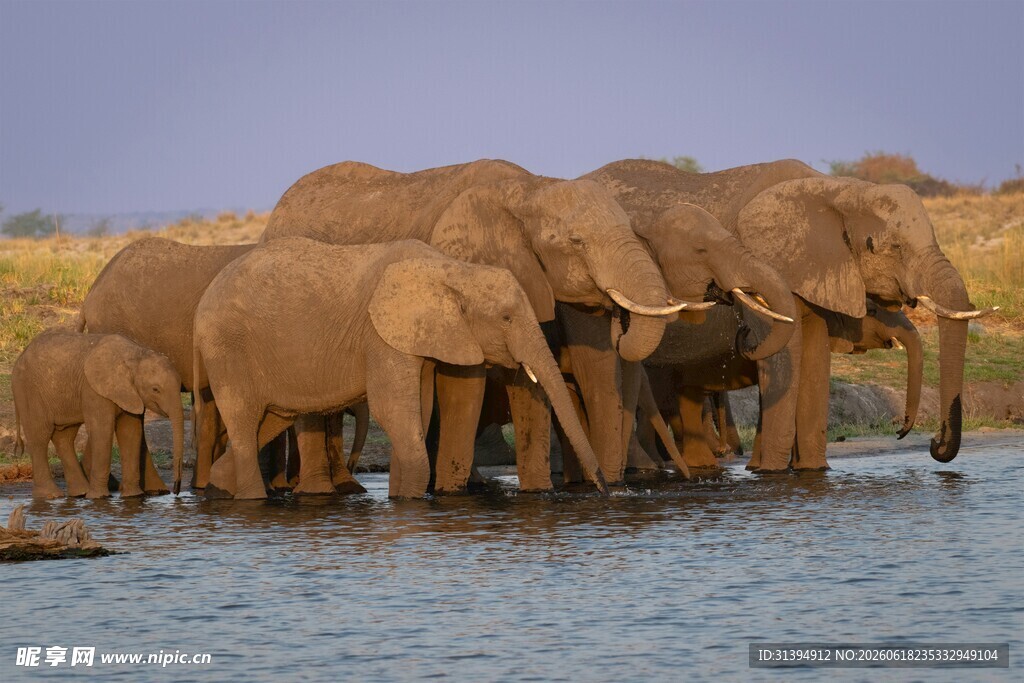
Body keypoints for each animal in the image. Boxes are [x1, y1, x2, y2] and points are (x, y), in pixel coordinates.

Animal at [12, 330, 185, 499]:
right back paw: (51, 495)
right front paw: (98, 497)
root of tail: (20, 357)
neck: (135, 355)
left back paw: (80, 493)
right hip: (28, 391)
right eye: (156, 389)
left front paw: (132, 496)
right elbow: (102, 431)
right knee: (39, 436)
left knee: (64, 437)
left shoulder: (130, 393)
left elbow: (130, 432)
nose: (176, 491)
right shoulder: (94, 389)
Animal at [193, 238, 608, 499]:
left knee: (269, 420)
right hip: (226, 348)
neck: (453, 269)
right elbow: (394, 411)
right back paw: (250, 501)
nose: (605, 488)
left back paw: (218, 489)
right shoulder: (381, 336)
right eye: (506, 318)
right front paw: (409, 503)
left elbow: (418, 412)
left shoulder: (414, 342)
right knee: (244, 422)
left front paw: (401, 499)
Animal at [262, 159, 697, 490]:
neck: (528, 190)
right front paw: (451, 495)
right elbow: (462, 383)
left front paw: (539, 493)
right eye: (576, 241)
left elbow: (548, 377)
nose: (610, 489)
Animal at [586, 158, 996, 471]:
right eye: (884, 246)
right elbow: (786, 359)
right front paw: (770, 474)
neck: (836, 189)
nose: (929, 441)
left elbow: (815, 359)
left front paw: (813, 472)